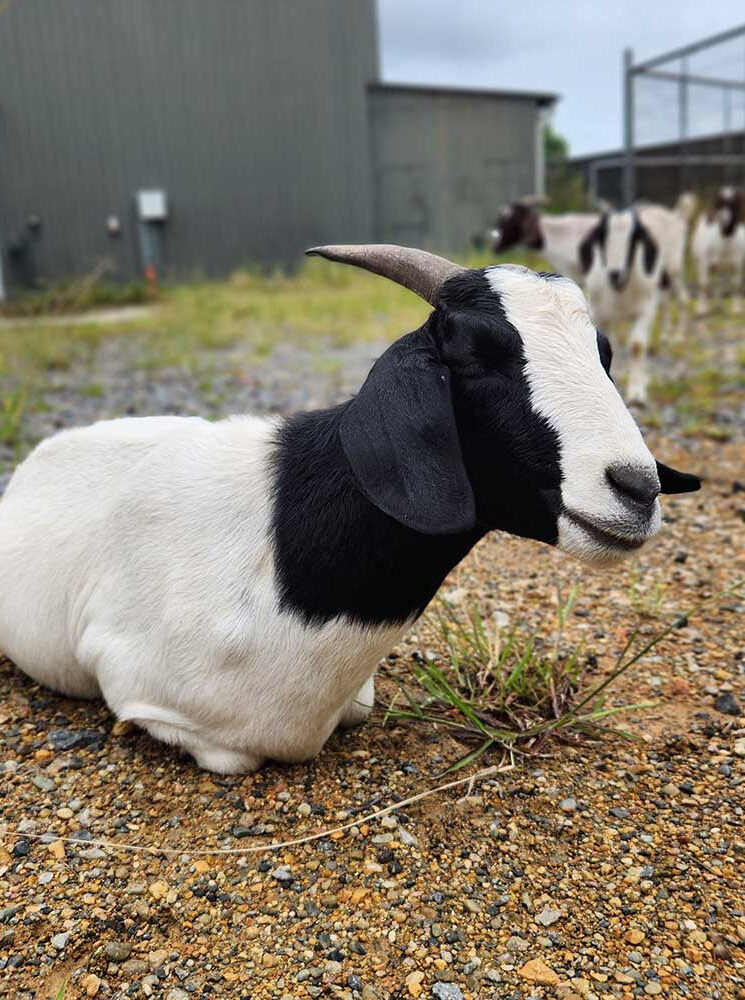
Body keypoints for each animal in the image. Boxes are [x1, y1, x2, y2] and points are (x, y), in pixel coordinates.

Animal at [691, 186, 745, 315]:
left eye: (732, 204)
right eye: (719, 204)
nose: (721, 218)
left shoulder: (739, 264)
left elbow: (736, 284)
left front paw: (736, 309)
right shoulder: (704, 262)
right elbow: (704, 283)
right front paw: (702, 309)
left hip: (723, 268)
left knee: (720, 283)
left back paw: (719, 305)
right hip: (699, 262)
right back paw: (716, 306)